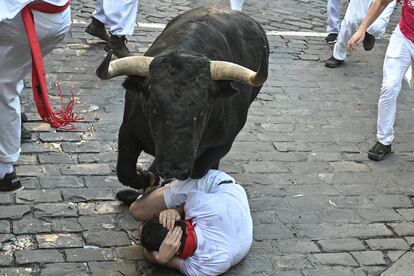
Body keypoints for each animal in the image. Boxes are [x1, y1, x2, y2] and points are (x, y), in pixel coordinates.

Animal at [97, 5, 272, 189]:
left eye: (202, 111)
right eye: (154, 108)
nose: (174, 169)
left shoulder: (223, 144)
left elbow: (199, 170)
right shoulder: (128, 130)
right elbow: (125, 172)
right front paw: (148, 178)